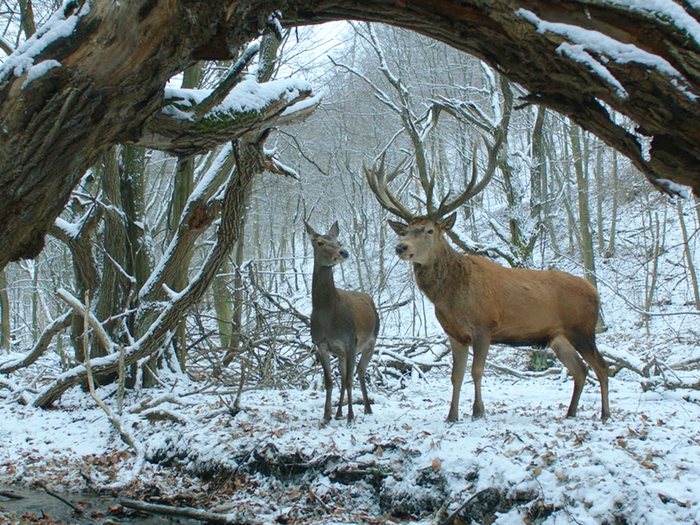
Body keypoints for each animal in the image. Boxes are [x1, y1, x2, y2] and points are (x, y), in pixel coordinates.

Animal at [305, 221, 380, 424]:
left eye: (339, 241)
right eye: (320, 242)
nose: (344, 252)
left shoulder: (350, 341)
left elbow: (348, 380)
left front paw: (351, 417)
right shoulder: (321, 344)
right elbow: (329, 381)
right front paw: (326, 415)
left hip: (371, 340)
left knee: (359, 372)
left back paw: (367, 408)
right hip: (341, 352)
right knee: (347, 373)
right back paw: (339, 412)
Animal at [388, 212, 610, 422]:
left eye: (429, 230)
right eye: (404, 231)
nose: (401, 247)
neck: (449, 298)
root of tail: (596, 293)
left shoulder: (483, 327)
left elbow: (476, 371)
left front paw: (478, 411)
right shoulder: (455, 335)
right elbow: (456, 376)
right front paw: (452, 416)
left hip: (582, 330)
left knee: (601, 366)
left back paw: (605, 414)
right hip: (558, 338)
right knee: (580, 370)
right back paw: (571, 412)